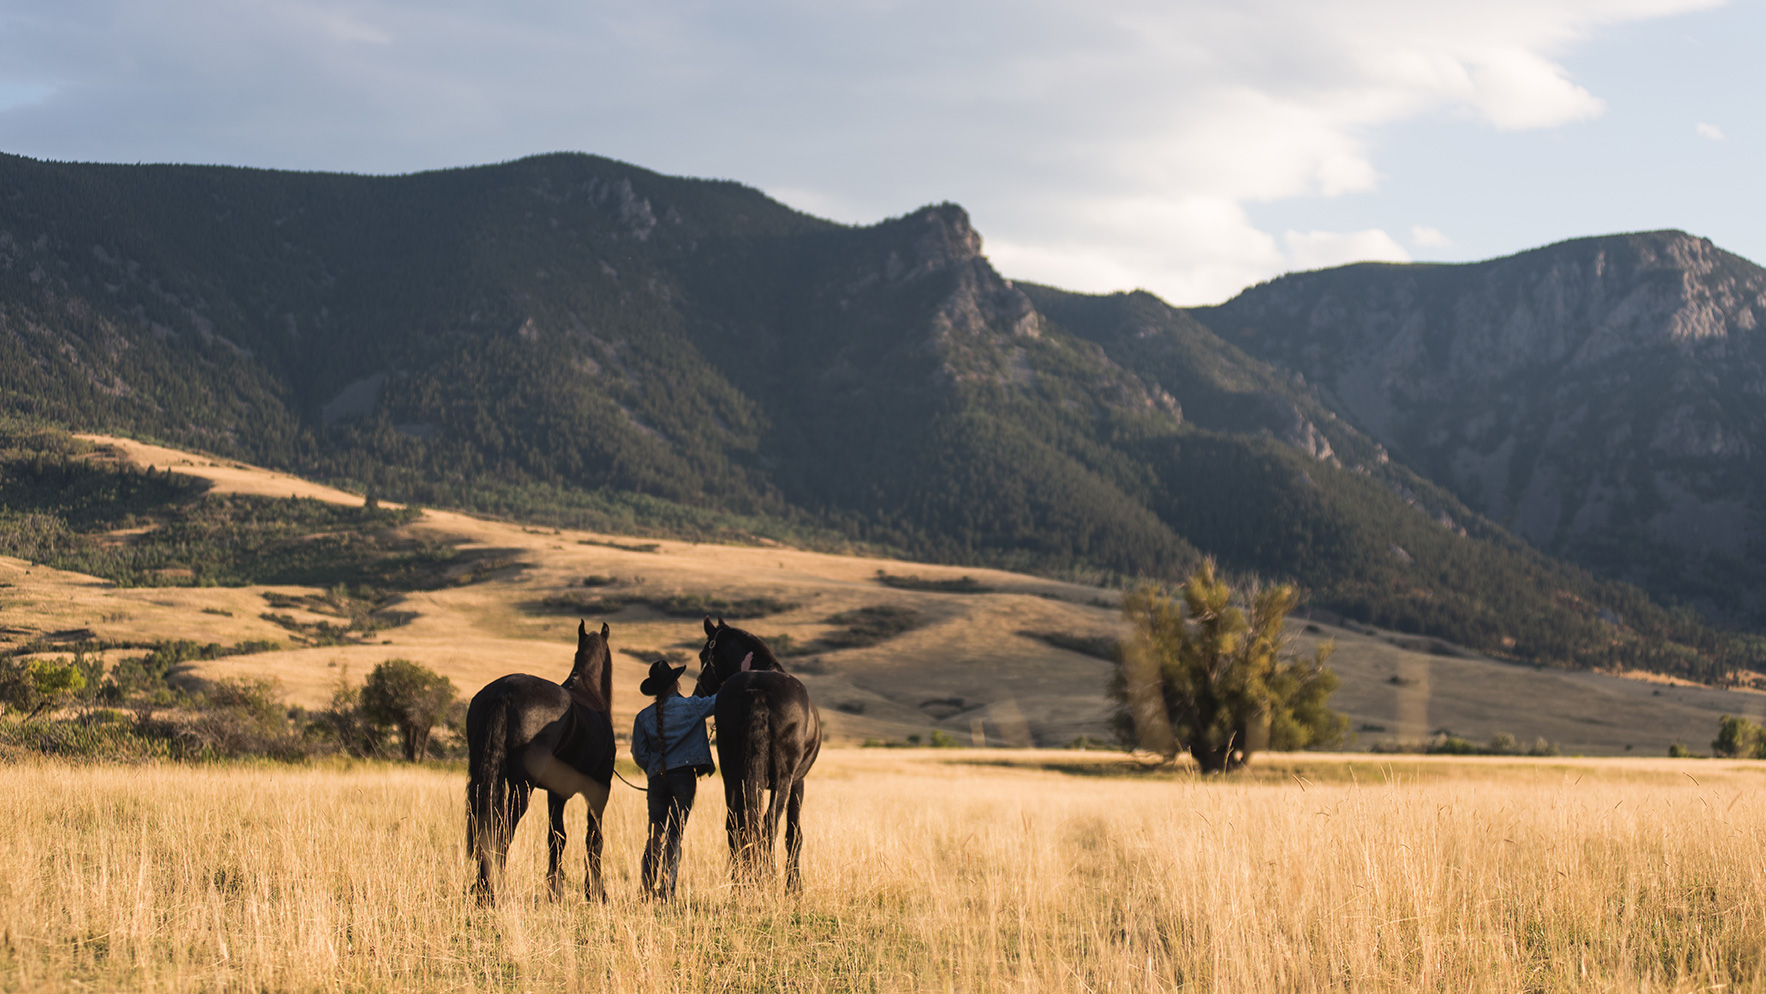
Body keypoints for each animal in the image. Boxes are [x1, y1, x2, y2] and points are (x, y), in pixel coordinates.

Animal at [465, 620, 616, 905]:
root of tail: (504, 693)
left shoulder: (556, 793)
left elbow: (557, 837)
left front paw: (555, 892)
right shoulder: (599, 790)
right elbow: (594, 838)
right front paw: (596, 892)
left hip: (486, 782)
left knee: (485, 828)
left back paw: (482, 890)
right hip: (521, 787)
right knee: (503, 831)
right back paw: (496, 891)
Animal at [692, 616, 822, 892]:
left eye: (702, 655)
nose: (697, 693)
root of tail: (758, 691)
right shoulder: (798, 781)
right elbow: (794, 833)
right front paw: (794, 888)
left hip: (731, 774)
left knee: (735, 823)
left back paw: (739, 886)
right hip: (783, 778)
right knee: (769, 824)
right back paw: (767, 880)